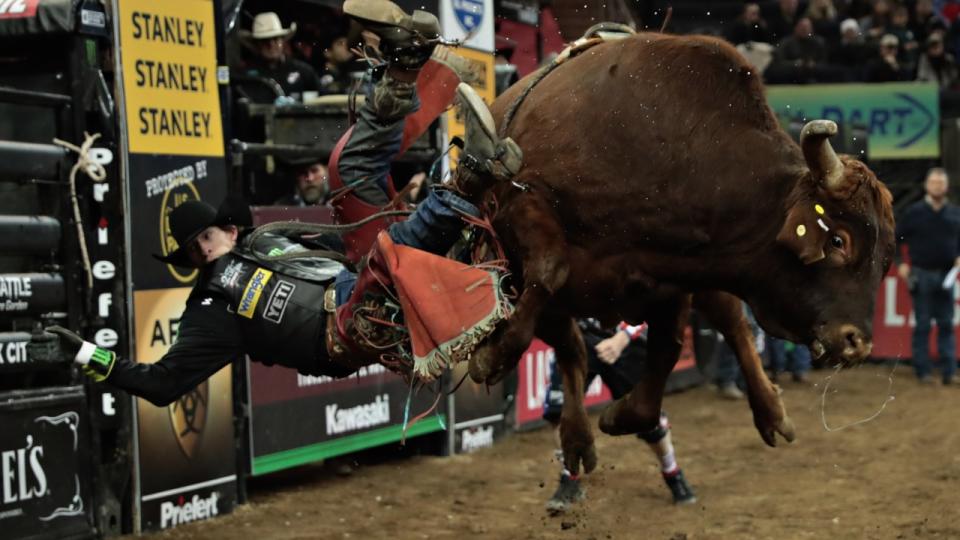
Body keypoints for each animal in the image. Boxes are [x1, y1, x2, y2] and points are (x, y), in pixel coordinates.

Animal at [468, 31, 896, 474]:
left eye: (885, 260)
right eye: (838, 240)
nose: (857, 343)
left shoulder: (674, 277)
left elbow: (668, 351)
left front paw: (621, 414)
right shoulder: (521, 204)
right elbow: (551, 273)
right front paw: (490, 356)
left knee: (731, 322)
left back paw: (771, 411)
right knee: (571, 344)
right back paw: (576, 438)